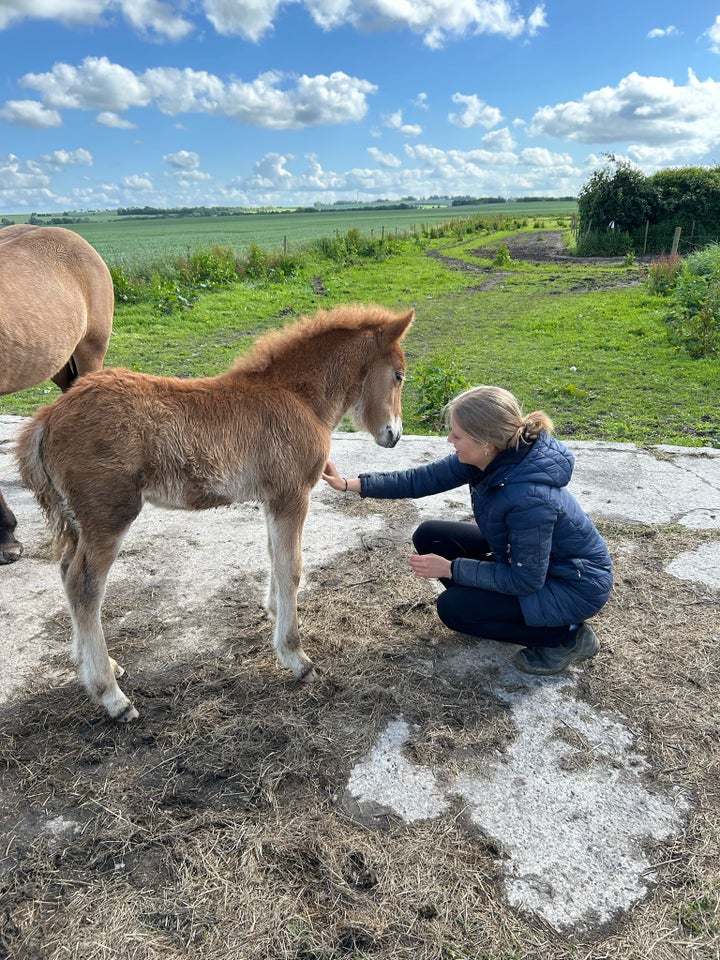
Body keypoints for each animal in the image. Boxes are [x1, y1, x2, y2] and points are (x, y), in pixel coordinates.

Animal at [16, 304, 414, 716]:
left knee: (66, 573)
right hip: (108, 515)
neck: (297, 397)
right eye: (399, 375)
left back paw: (100, 665)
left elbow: (275, 559)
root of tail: (46, 418)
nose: (394, 434)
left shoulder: (272, 500)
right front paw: (296, 657)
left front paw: (274, 613)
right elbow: (292, 569)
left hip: (79, 519)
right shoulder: (292, 496)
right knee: (84, 587)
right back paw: (112, 696)